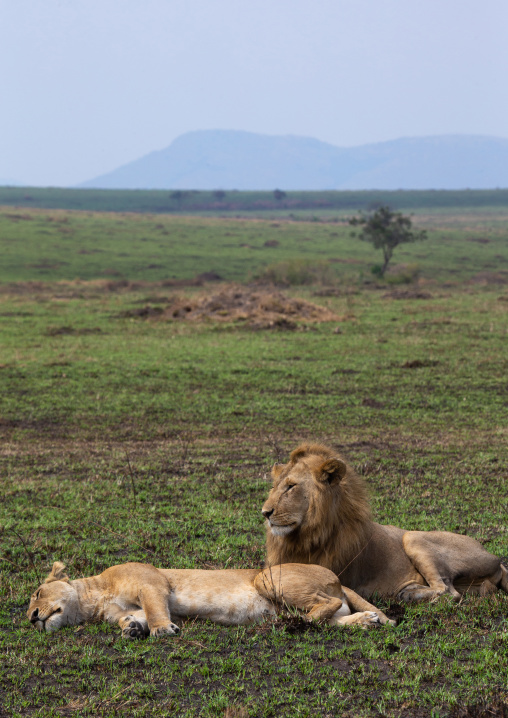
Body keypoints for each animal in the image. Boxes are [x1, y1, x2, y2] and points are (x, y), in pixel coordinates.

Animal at [262, 444, 508, 603]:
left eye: (291, 486)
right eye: (274, 487)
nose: (265, 513)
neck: (304, 536)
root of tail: (493, 556)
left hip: (413, 536)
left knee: (449, 592)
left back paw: (409, 594)